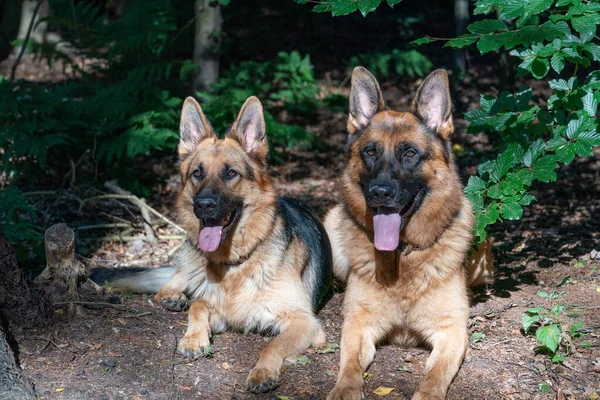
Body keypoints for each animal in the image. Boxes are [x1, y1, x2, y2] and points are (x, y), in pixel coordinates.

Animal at [326, 67, 476, 398]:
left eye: (409, 153)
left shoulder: (452, 331)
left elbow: (435, 375)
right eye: (370, 152)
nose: (380, 192)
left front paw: (427, 393)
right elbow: (349, 365)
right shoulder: (358, 325)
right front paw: (345, 389)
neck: (403, 256)